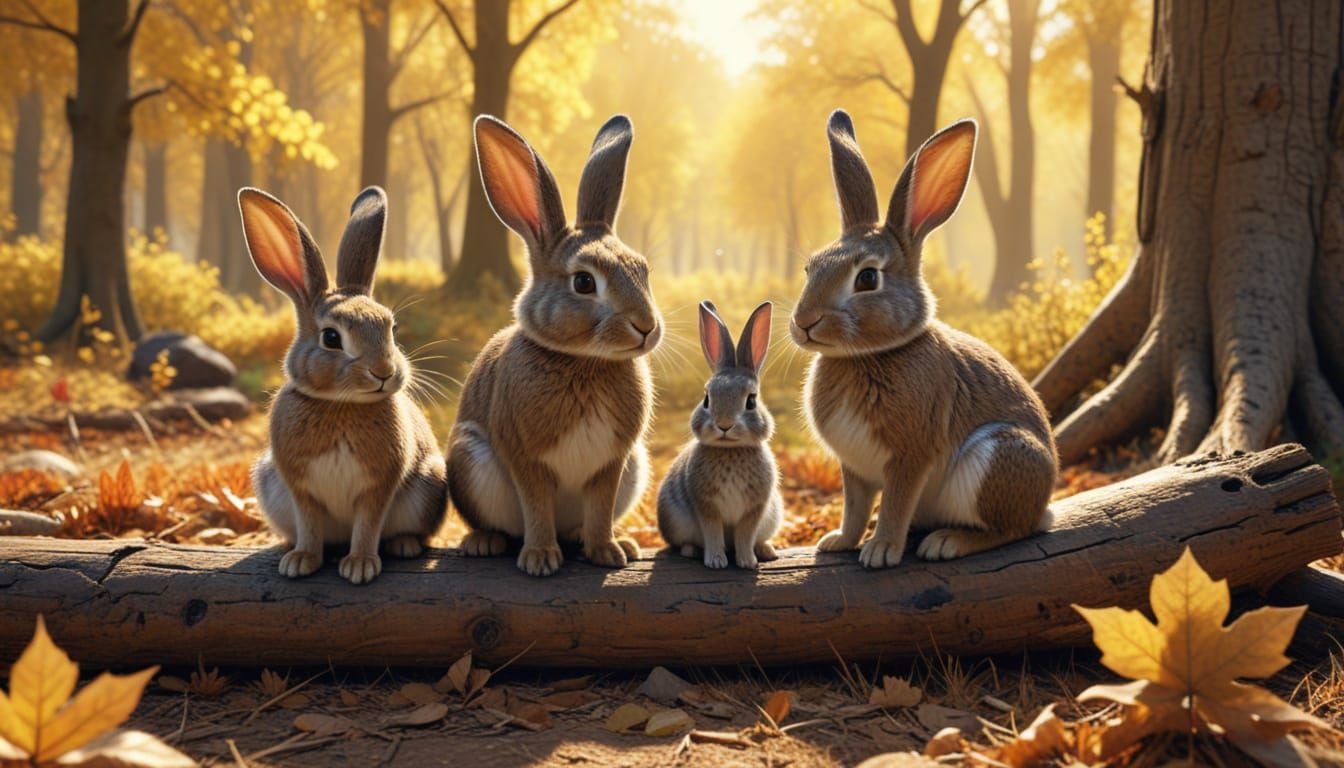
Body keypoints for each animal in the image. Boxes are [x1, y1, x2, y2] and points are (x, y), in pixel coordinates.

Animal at [238, 186, 448, 585]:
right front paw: (301, 561)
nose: (383, 371)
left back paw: (404, 545)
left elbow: (368, 524)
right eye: (332, 338)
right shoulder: (298, 485)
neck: (341, 403)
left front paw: (360, 566)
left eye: (391, 328)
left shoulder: (378, 485)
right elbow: (308, 522)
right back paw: (288, 548)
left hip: (429, 482)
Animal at [445, 114, 661, 577]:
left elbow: (599, 508)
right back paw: (484, 543)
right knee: (505, 526)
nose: (647, 327)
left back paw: (610, 542)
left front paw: (607, 552)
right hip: (470, 459)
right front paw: (540, 560)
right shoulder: (525, 456)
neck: (584, 361)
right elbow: (536, 506)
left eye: (642, 270)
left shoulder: (613, 461)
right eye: (583, 282)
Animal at [657, 301, 783, 570]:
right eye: (706, 399)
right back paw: (691, 551)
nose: (724, 425)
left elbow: (745, 534)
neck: (730, 450)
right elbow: (712, 532)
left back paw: (766, 550)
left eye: (751, 401)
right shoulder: (706, 506)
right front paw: (716, 562)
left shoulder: (755, 509)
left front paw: (747, 561)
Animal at [790, 110, 1058, 570]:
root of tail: (1044, 503)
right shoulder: (854, 467)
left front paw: (881, 551)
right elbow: (854, 507)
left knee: (1011, 530)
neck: (868, 355)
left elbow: (896, 504)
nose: (804, 322)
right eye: (811, 268)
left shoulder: (910, 456)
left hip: (996, 459)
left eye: (867, 278)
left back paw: (948, 542)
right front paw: (839, 541)